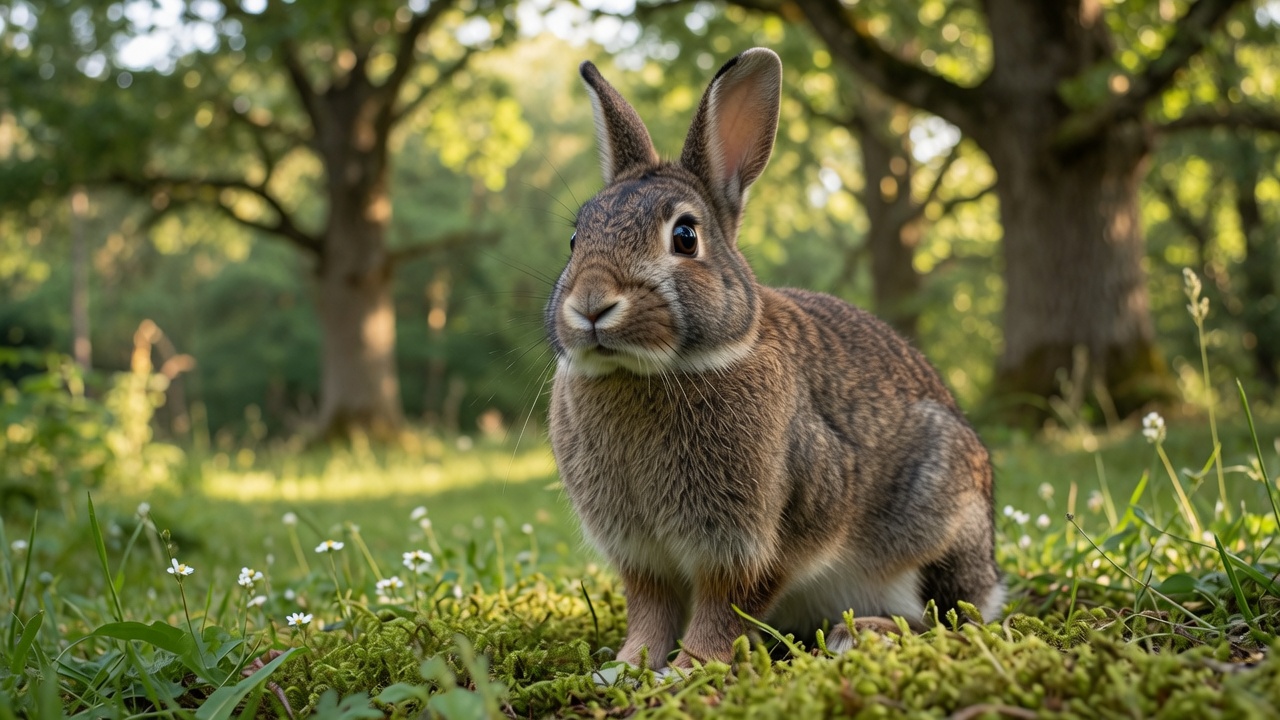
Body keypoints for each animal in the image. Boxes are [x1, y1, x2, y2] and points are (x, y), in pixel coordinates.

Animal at [545, 47, 1003, 670]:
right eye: (575, 240)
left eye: (685, 236)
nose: (592, 304)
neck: (650, 371)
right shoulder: (641, 554)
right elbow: (651, 607)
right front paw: (627, 667)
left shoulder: (763, 535)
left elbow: (727, 603)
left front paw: (690, 669)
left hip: (937, 525)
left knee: (949, 619)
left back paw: (864, 633)